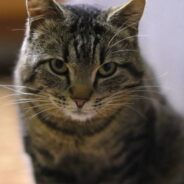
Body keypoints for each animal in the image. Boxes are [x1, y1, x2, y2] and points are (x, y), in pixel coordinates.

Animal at [14, 0, 184, 183]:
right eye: (58, 65)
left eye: (107, 68)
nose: (80, 100)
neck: (79, 135)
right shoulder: (43, 162)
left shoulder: (128, 157)